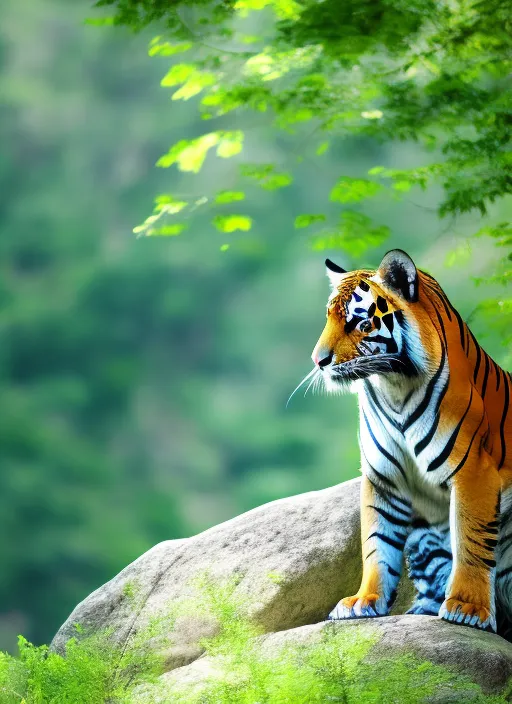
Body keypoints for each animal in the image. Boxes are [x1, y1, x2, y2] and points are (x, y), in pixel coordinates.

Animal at [308, 250, 512, 636]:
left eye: (358, 323)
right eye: (328, 318)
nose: (319, 361)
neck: (393, 387)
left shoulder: (474, 472)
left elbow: (471, 540)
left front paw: (467, 608)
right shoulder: (383, 477)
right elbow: (377, 542)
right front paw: (364, 601)